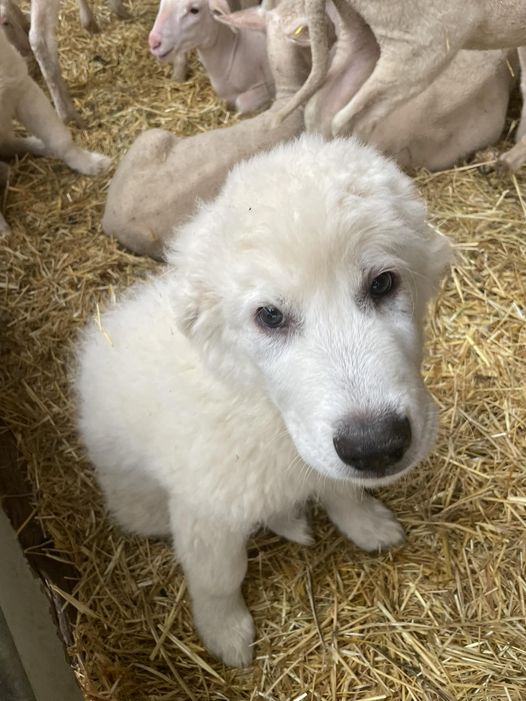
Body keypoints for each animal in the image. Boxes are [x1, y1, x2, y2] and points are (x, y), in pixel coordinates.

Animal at [75, 133, 454, 668]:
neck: (262, 407)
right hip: (139, 502)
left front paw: (367, 524)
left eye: (382, 283)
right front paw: (225, 635)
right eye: (269, 316)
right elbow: (218, 579)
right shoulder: (207, 514)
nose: (376, 446)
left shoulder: (322, 457)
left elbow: (342, 490)